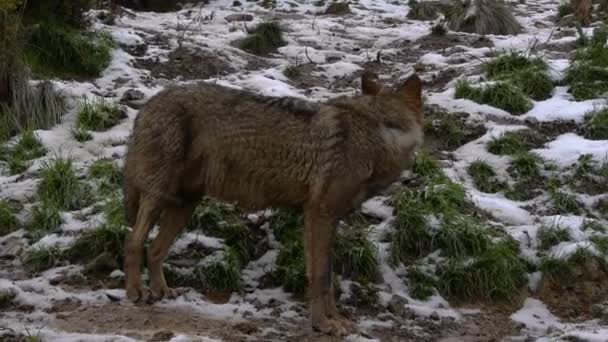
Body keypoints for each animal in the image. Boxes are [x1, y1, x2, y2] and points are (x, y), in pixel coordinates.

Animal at [123, 71, 422, 336]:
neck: (379, 133)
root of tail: (148, 104)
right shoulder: (319, 214)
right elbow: (321, 277)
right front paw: (324, 325)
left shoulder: (323, 218)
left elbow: (323, 276)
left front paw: (334, 320)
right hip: (158, 197)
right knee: (135, 242)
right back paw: (136, 292)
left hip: (185, 205)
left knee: (155, 249)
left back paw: (163, 292)